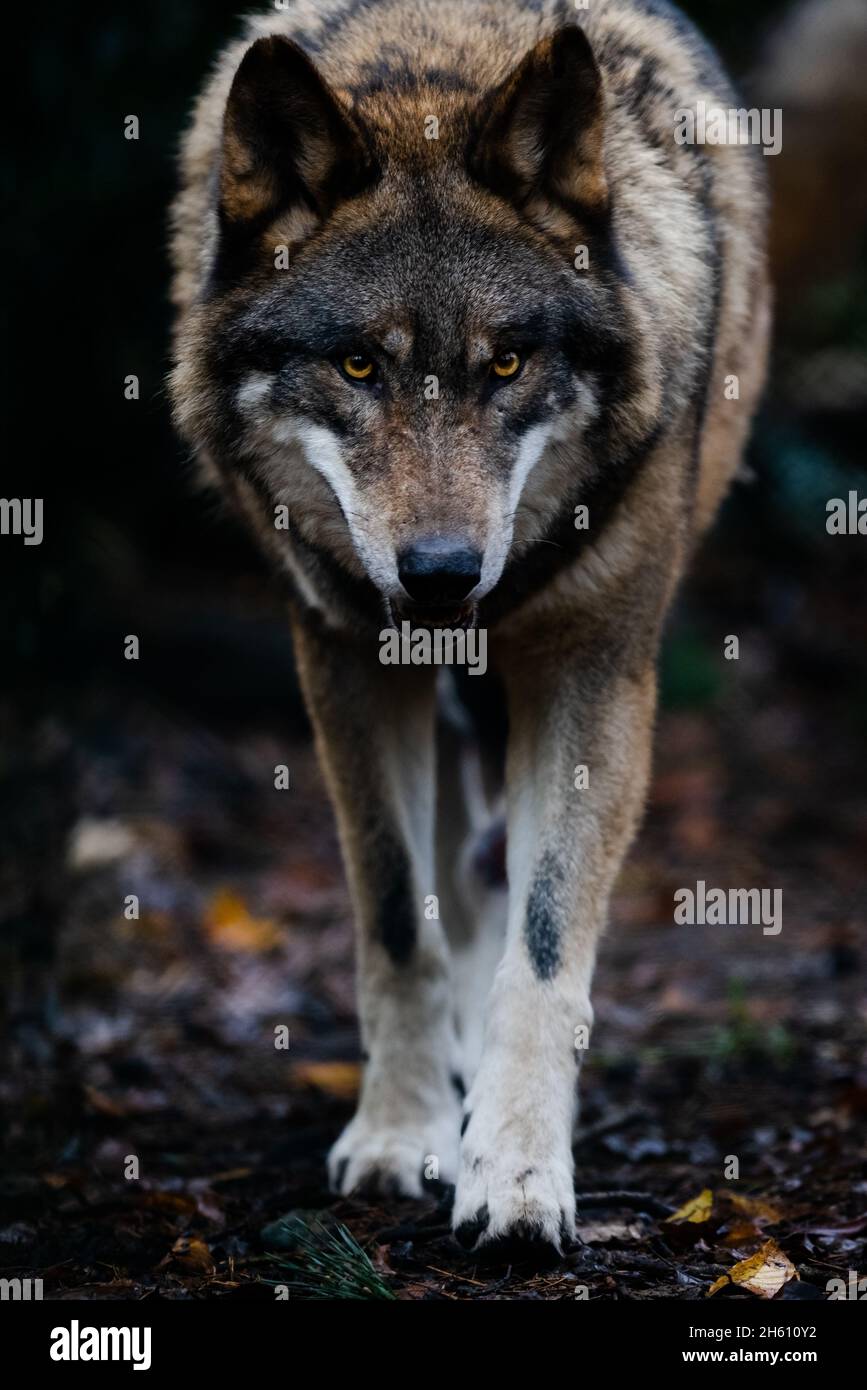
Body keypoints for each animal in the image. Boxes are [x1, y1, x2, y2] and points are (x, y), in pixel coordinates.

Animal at [170, 0, 770, 1252]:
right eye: (358, 364)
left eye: (507, 363)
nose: (442, 576)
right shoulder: (350, 658)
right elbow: (402, 922)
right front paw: (403, 1137)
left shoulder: (595, 667)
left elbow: (544, 947)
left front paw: (521, 1172)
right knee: (461, 867)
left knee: (501, 870)